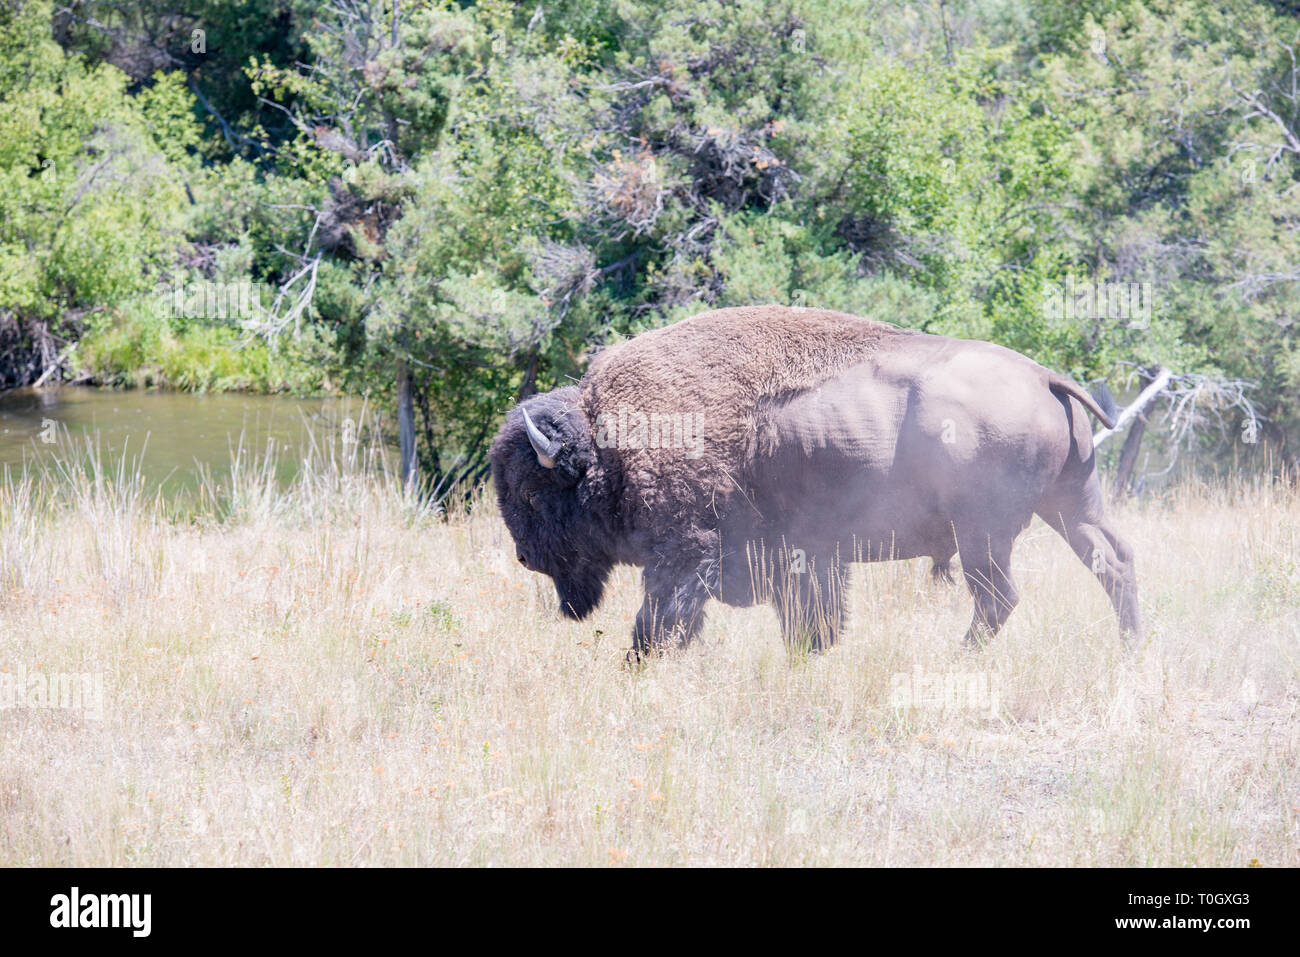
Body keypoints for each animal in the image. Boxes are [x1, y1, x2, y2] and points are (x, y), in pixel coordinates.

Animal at [490, 306, 1139, 655]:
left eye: (531, 492)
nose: (523, 556)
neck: (608, 438)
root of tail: (1044, 376)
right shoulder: (805, 556)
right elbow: (812, 618)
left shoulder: (685, 553)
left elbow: (659, 621)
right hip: (1072, 505)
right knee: (1114, 561)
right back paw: (1132, 648)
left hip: (984, 532)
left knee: (998, 597)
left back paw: (960, 658)